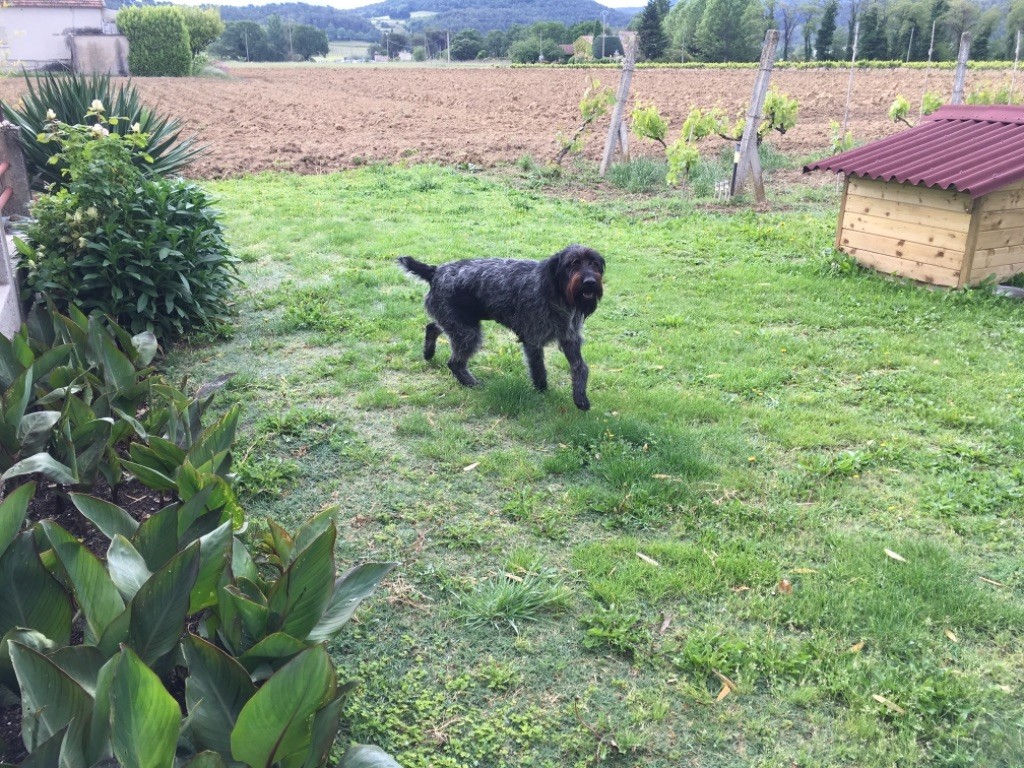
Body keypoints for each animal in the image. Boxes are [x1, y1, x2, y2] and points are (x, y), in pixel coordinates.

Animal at [397, 247, 606, 415]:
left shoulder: (570, 339)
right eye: (573, 264)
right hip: (467, 331)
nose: (589, 282)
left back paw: (428, 353)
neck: (557, 294)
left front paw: (580, 397)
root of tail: (436, 271)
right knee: (454, 362)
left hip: (456, 323)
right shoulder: (533, 340)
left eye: (594, 263)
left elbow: (580, 368)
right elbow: (539, 370)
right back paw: (472, 384)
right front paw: (542, 392)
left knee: (432, 327)